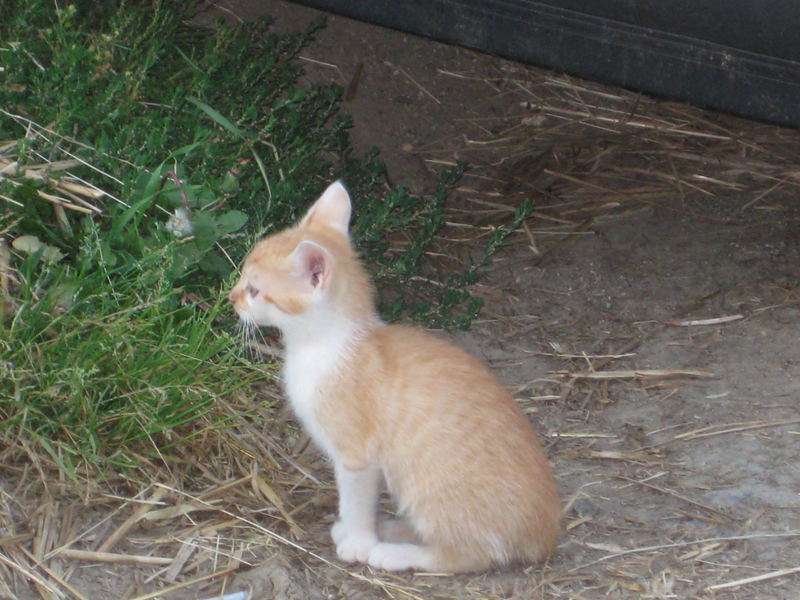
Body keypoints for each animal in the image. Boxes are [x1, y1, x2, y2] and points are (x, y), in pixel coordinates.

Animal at [228, 182, 560, 572]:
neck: (326, 343)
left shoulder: (357, 455)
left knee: (466, 554)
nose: (231, 298)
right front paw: (357, 531)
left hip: (426, 485)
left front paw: (357, 542)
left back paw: (393, 552)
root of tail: (545, 536)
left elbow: (356, 500)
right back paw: (394, 529)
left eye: (254, 290)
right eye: (242, 279)